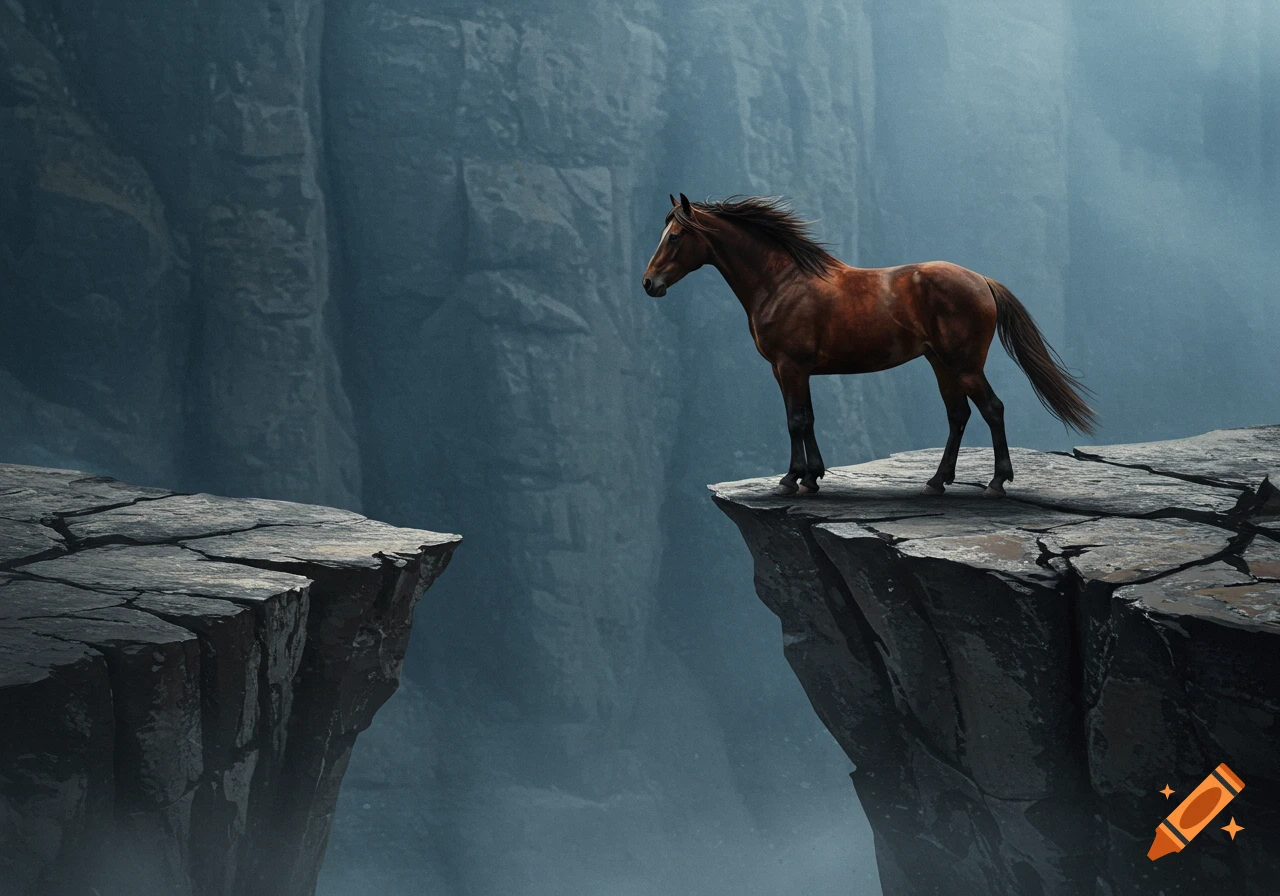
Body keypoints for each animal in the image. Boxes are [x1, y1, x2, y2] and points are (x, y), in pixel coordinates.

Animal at [642, 193, 1096, 497]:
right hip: (941, 364)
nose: (649, 283)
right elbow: (807, 418)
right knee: (958, 415)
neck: (782, 282)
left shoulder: (789, 366)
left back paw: (997, 482)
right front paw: (812, 476)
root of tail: (981, 280)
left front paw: (791, 479)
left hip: (964, 365)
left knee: (992, 409)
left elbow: (795, 420)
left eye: (676, 236)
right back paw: (937, 481)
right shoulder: (792, 370)